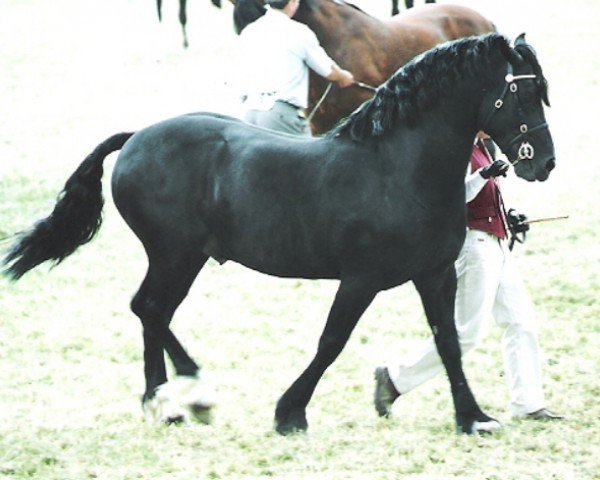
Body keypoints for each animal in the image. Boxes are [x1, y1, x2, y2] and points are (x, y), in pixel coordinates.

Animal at [4, 33, 556, 436]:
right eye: (523, 93)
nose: (546, 164)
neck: (397, 171)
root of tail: (137, 137)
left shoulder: (436, 274)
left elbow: (449, 341)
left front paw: (472, 417)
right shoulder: (361, 279)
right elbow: (332, 341)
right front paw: (290, 412)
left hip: (183, 259)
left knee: (153, 313)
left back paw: (169, 405)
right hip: (174, 255)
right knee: (150, 309)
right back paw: (190, 398)